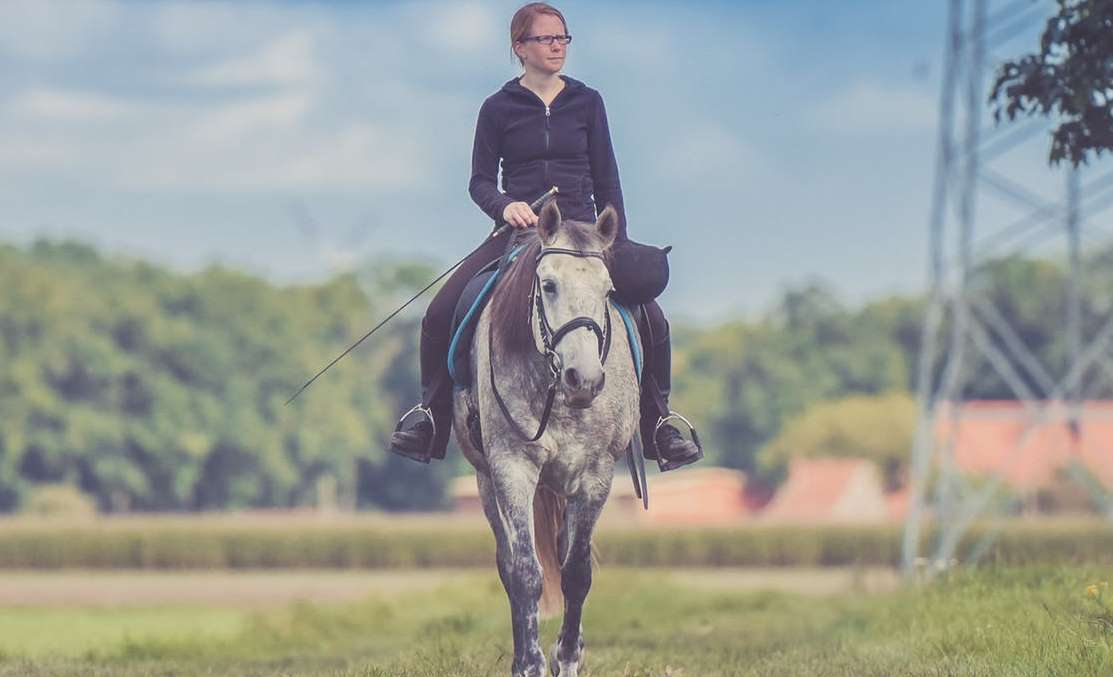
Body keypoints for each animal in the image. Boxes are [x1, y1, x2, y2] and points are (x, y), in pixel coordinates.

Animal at [451, 200, 641, 677]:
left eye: (608, 290)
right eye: (549, 285)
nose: (584, 379)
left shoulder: (596, 476)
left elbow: (576, 572)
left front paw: (568, 658)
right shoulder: (512, 469)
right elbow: (525, 572)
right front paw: (531, 664)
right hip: (486, 482)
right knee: (508, 563)